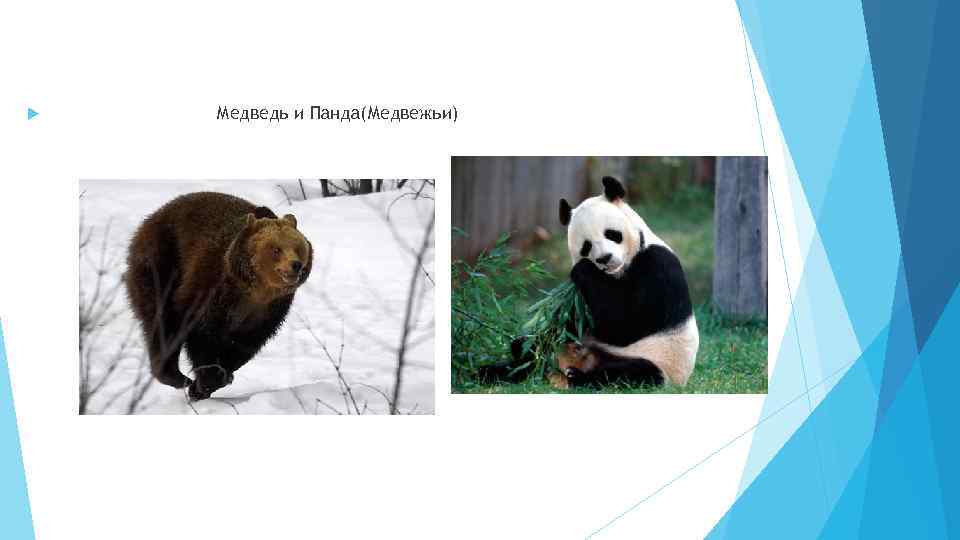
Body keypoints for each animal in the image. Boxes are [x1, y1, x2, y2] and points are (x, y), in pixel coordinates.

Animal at [124, 191, 313, 400]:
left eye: (298, 247)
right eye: (276, 249)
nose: (295, 265)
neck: (255, 289)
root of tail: (151, 217)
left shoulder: (269, 310)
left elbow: (245, 343)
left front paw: (218, 378)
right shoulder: (213, 288)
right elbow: (202, 333)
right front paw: (205, 382)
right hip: (161, 264)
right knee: (163, 322)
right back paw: (176, 376)